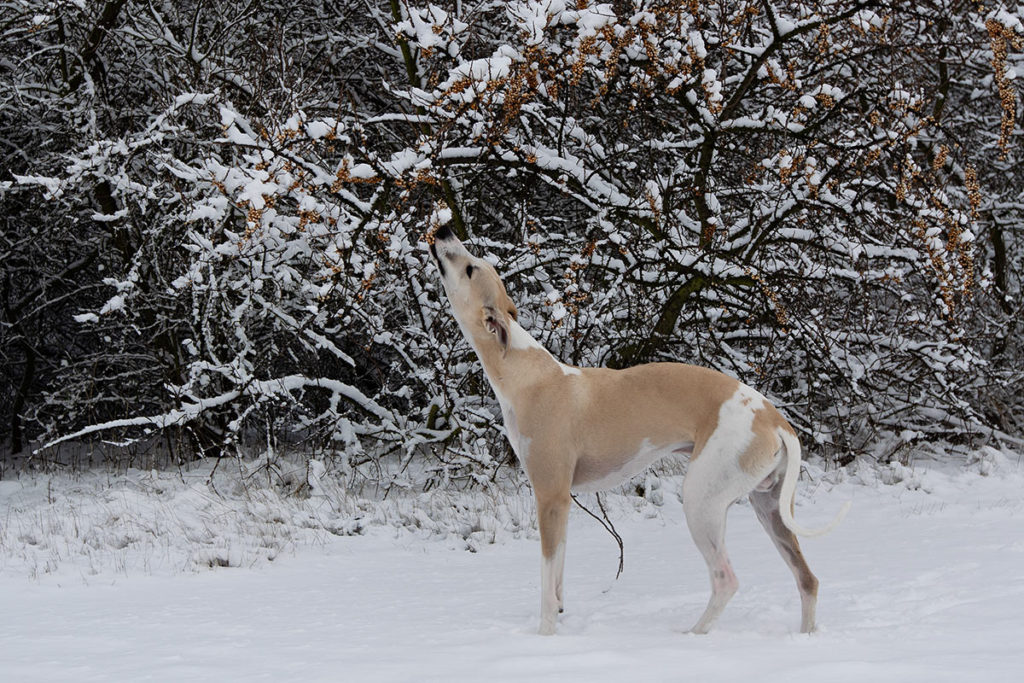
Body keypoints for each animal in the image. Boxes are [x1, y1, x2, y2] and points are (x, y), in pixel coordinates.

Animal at [428, 227, 851, 638]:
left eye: (471, 268)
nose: (444, 229)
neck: (527, 374)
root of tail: (775, 419)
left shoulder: (550, 496)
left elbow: (547, 583)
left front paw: (545, 635)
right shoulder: (562, 502)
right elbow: (559, 577)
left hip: (703, 500)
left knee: (725, 579)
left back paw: (693, 634)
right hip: (769, 506)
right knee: (808, 579)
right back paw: (804, 637)